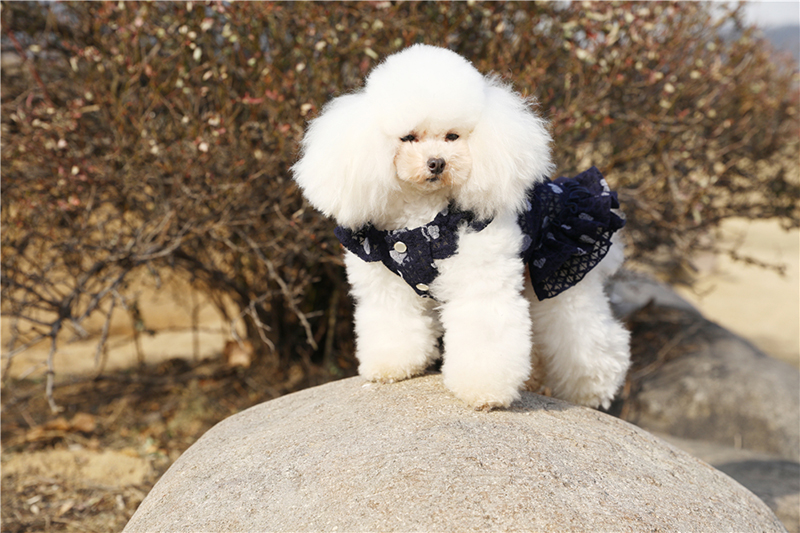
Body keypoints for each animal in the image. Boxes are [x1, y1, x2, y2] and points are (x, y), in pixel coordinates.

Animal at [292, 45, 630, 410]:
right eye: (408, 138)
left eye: (452, 136)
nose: (437, 163)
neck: (423, 217)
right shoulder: (387, 283)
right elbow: (394, 319)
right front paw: (392, 365)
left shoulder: (480, 279)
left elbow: (483, 328)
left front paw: (484, 390)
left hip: (562, 278)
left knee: (586, 336)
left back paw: (592, 391)